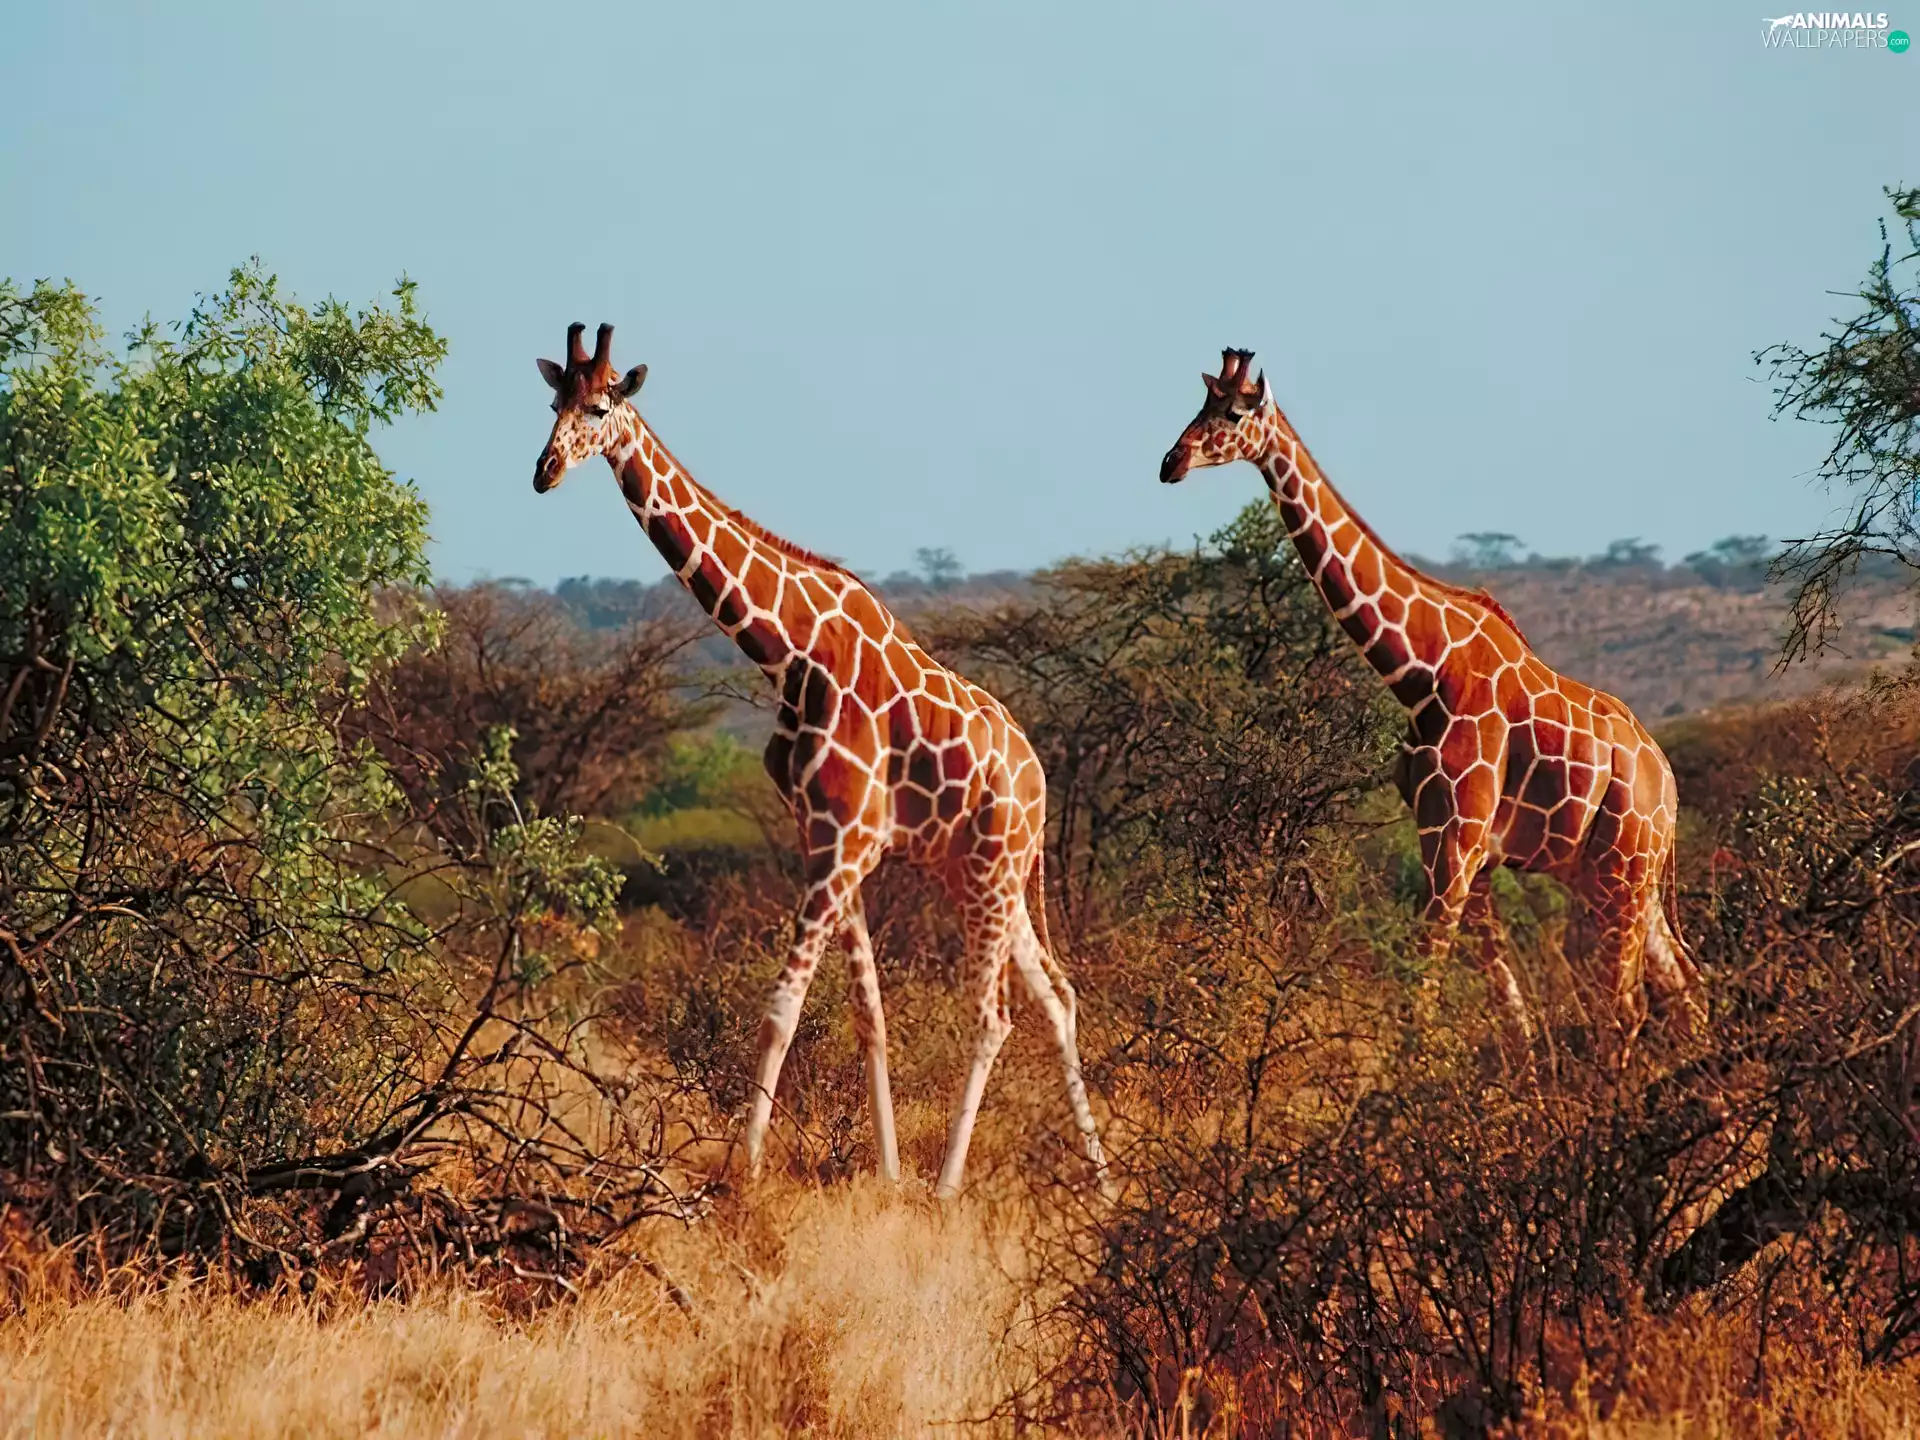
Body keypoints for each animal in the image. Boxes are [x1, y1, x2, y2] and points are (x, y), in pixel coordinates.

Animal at [533, 323, 1106, 1198]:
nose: (544, 471)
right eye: (552, 401)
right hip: (986, 872)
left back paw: (949, 1190)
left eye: (599, 407)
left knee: (995, 1014)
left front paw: (745, 1175)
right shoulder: (830, 840)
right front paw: (887, 1174)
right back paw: (1101, 1179)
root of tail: (1039, 778)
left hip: (990, 869)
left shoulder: (845, 846)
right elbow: (869, 1014)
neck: (789, 651)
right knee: (1056, 995)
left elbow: (782, 1007)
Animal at [1158, 349, 1705, 1057]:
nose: (1170, 461)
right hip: (1609, 873)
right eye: (1198, 404)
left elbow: (1423, 987)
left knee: (1629, 1005)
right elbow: (1506, 1005)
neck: (1423, 671)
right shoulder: (1451, 843)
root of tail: (1666, 781)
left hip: (1624, 869)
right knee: (1684, 986)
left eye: (1230, 413)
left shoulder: (1457, 840)